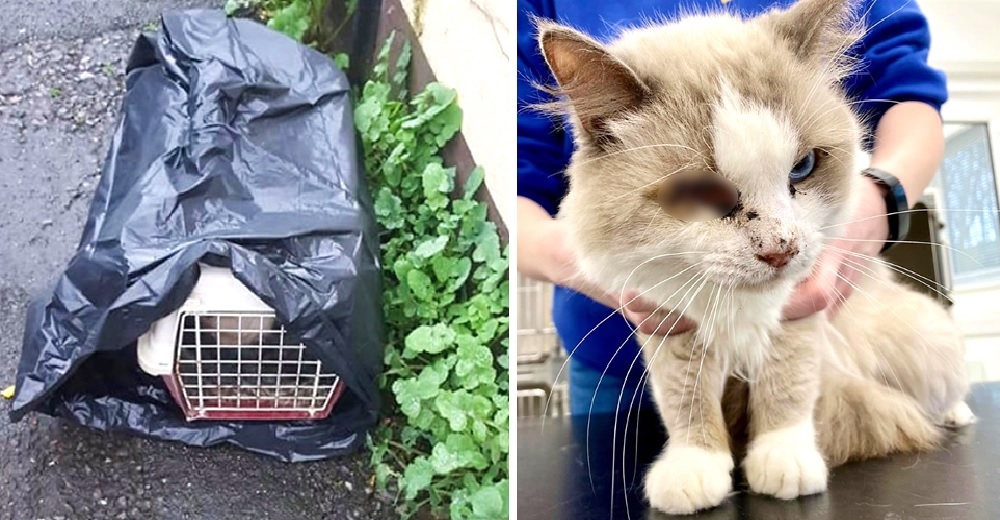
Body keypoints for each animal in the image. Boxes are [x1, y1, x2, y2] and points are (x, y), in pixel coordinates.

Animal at [536, 0, 972, 512]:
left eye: (803, 168)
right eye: (702, 192)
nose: (781, 250)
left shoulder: (796, 313)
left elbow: (787, 388)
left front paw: (783, 460)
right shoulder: (669, 325)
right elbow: (686, 403)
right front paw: (696, 468)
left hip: (920, 343)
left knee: (944, 385)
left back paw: (958, 414)